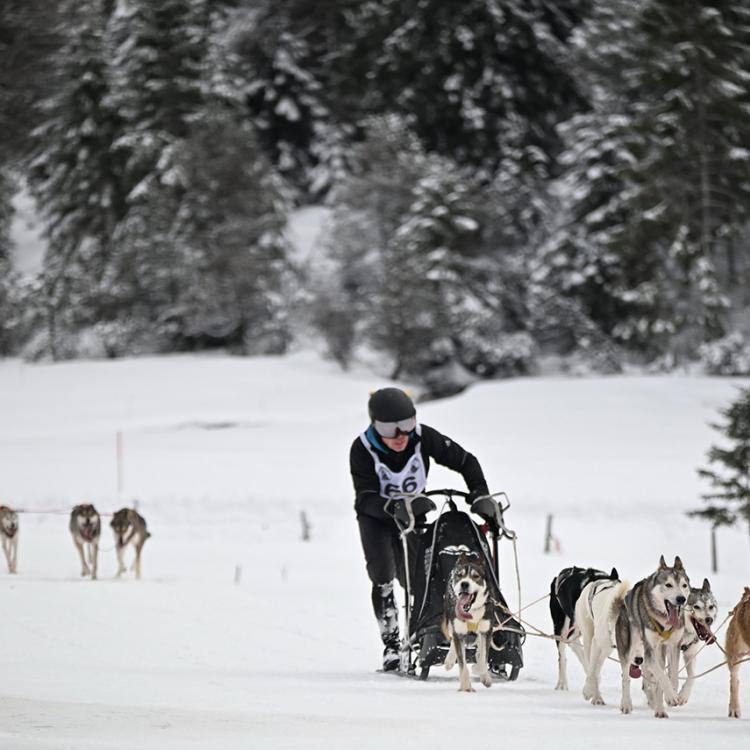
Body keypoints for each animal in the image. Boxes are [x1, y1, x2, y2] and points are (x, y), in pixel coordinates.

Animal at [444, 552, 496, 692]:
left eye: (475, 576)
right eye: (460, 575)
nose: (464, 584)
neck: (471, 611)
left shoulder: (486, 631)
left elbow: (483, 658)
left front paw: (482, 674)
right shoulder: (458, 630)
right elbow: (462, 664)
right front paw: (466, 686)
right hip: (452, 623)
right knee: (453, 639)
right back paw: (449, 660)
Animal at [576, 572, 636, 708]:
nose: (639, 660)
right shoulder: (596, 643)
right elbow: (592, 671)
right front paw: (588, 691)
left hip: (607, 649)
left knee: (598, 666)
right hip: (588, 637)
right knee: (591, 666)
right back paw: (596, 695)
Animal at [616, 556, 692, 720]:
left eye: (684, 585)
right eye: (668, 585)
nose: (681, 599)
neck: (664, 620)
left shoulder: (674, 645)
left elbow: (672, 675)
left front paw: (672, 693)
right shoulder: (649, 650)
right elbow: (661, 676)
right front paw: (670, 696)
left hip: (660, 651)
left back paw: (659, 710)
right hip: (629, 648)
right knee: (625, 676)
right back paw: (626, 704)